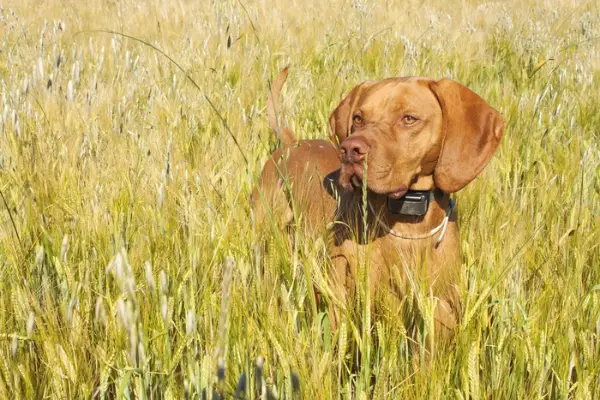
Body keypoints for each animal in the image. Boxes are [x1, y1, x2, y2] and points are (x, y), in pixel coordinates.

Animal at [254, 70, 506, 342]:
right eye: (358, 118)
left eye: (409, 118)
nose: (350, 150)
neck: (405, 222)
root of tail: (293, 142)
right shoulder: (342, 300)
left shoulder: (439, 309)